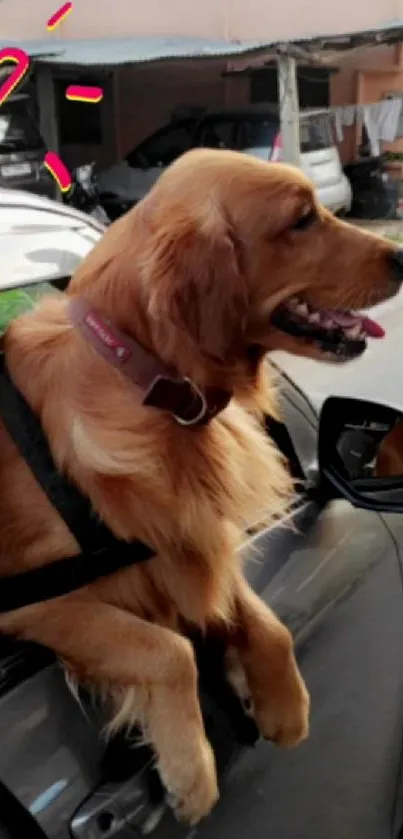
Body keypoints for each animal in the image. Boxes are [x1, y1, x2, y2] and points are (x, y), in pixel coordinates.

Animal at [0, 148, 402, 824]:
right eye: (301, 220)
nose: (401, 256)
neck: (142, 379)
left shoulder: (190, 539)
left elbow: (265, 621)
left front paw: (285, 707)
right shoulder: (34, 604)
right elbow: (168, 650)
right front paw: (191, 772)